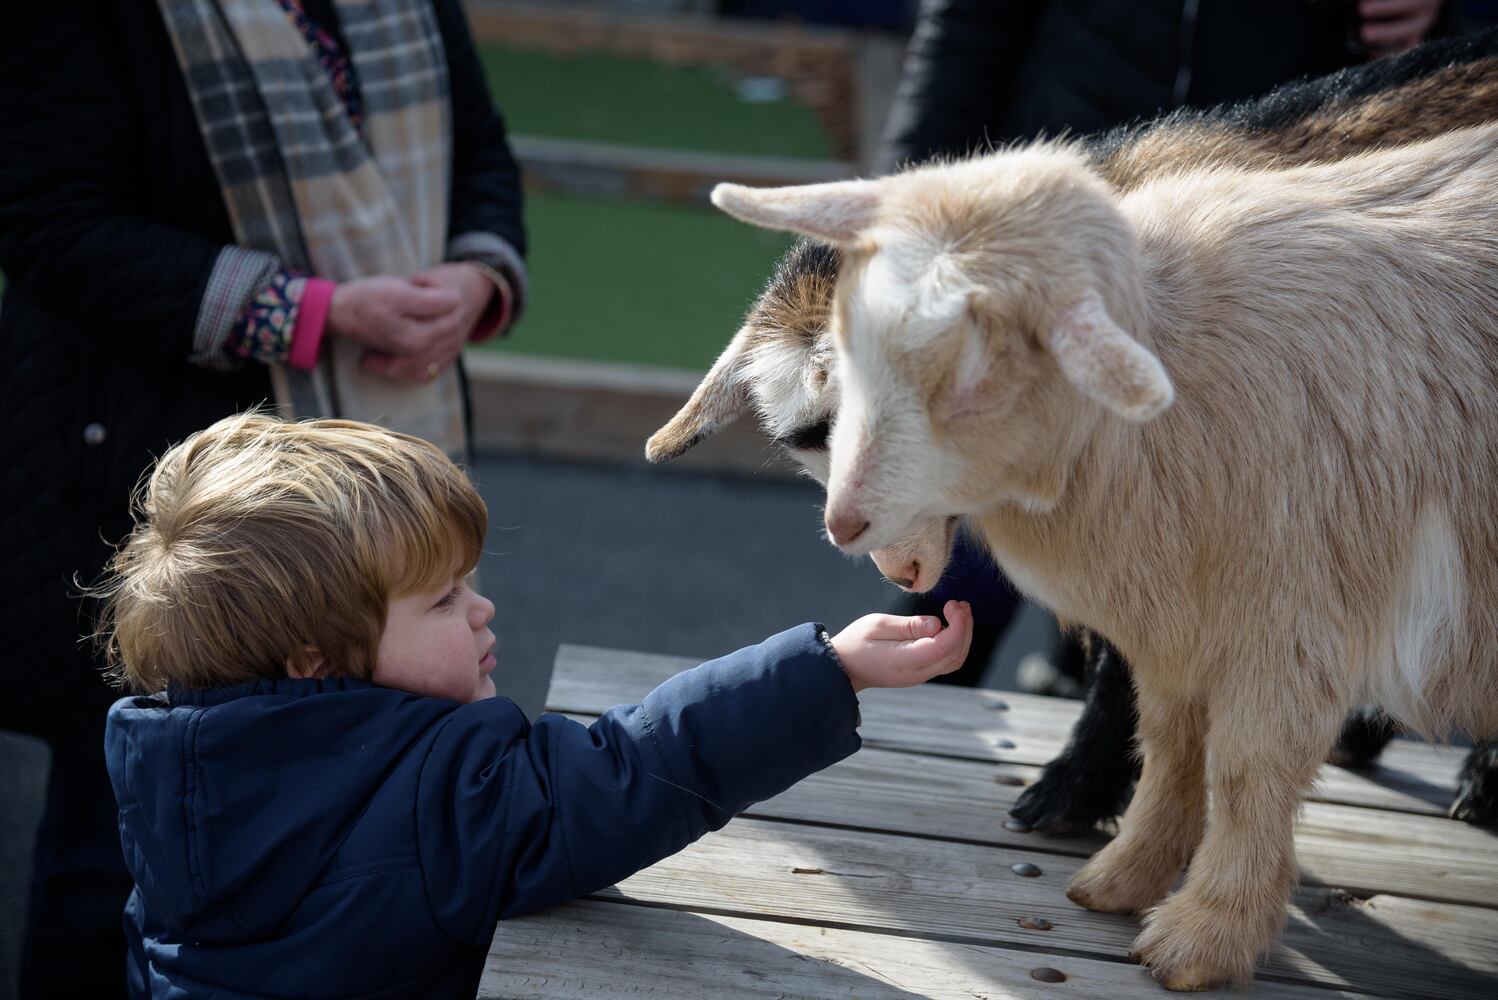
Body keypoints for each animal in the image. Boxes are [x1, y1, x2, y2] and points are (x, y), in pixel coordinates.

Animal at [707, 127, 1498, 994]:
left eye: (977, 372)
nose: (848, 524)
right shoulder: (1183, 621)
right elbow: (1171, 743)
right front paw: (1122, 878)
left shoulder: (1290, 610)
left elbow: (1246, 772)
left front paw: (1202, 939)